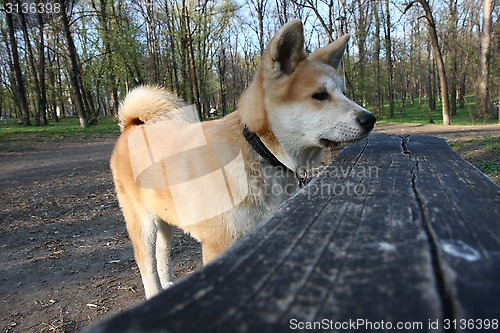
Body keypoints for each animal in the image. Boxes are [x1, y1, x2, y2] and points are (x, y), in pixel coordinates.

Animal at [110, 19, 376, 296]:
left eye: (343, 93)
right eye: (320, 95)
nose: (370, 119)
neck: (259, 152)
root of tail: (132, 126)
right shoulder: (219, 244)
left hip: (166, 218)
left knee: (163, 254)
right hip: (143, 223)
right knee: (147, 264)